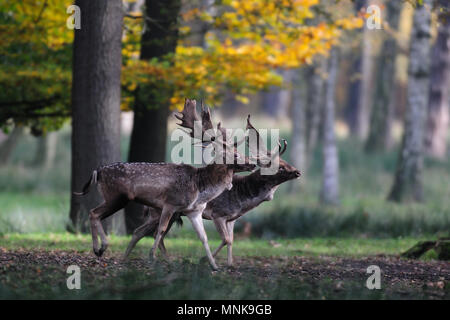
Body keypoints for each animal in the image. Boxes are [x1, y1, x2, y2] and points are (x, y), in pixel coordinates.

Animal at [75, 98, 255, 270]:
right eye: (235, 155)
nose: (252, 163)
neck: (200, 187)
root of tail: (98, 171)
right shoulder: (170, 203)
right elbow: (160, 230)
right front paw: (152, 256)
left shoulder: (194, 211)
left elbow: (203, 237)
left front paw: (214, 265)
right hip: (116, 196)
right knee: (94, 213)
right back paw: (100, 248)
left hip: (115, 197)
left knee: (97, 214)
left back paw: (103, 250)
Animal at [123, 114, 300, 264]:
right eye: (280, 167)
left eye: (286, 163)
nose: (298, 171)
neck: (243, 199)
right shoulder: (218, 214)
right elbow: (226, 239)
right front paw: (204, 260)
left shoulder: (232, 218)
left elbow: (231, 240)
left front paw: (229, 264)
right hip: (160, 211)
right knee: (145, 231)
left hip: (171, 213)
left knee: (146, 233)